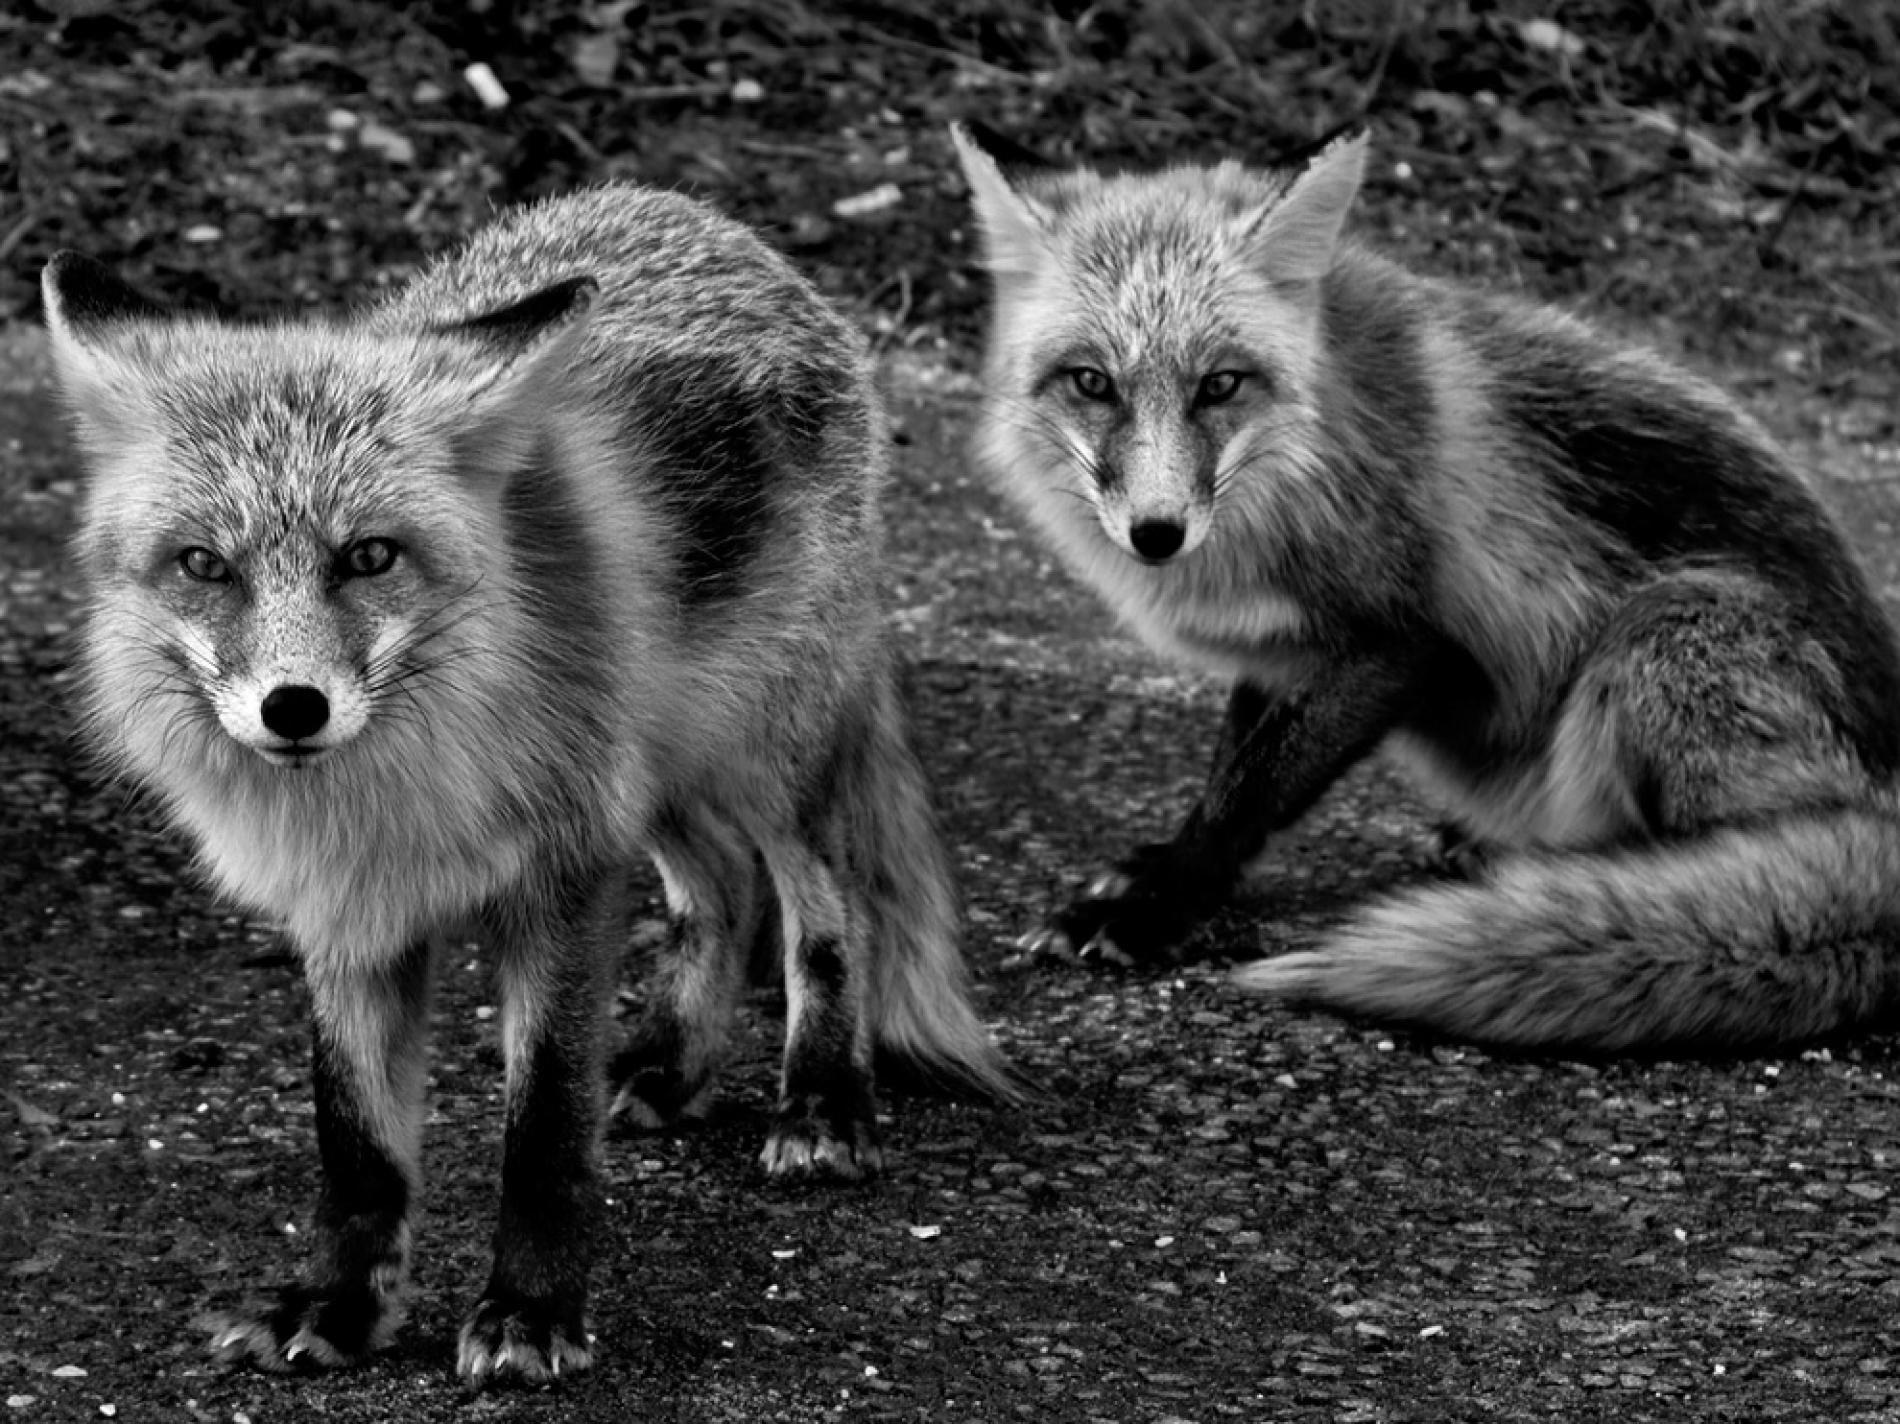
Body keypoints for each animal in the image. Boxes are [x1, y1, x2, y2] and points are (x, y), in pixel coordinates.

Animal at [41, 183, 1014, 1386]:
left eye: (369, 557)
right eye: (203, 566)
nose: (293, 708)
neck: (396, 799)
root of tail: (705, 220)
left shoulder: (566, 868)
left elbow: (543, 1127)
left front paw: (531, 1311)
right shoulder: (347, 909)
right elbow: (355, 1141)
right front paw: (338, 1304)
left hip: (759, 751)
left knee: (825, 907)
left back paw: (827, 1101)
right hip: (656, 766)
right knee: (721, 890)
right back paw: (669, 1068)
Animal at [952, 121, 1900, 1054]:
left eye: (1219, 385)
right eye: (1091, 382)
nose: (1156, 533)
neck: (1303, 462)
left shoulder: (1405, 643)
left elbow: (1256, 790)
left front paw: (1160, 906)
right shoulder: (1280, 650)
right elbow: (1230, 773)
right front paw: (1158, 870)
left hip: (1668, 631)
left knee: (1729, 858)